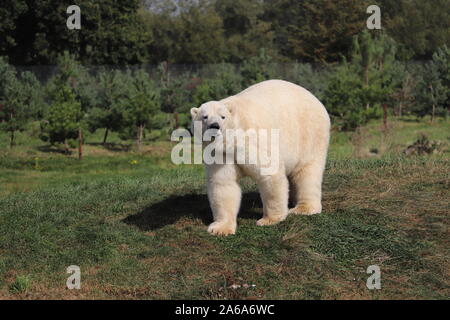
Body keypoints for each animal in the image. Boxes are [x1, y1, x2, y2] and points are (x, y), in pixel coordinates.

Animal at [190, 79, 330, 236]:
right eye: (205, 117)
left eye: (222, 117)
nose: (214, 126)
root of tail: (315, 99)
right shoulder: (221, 154)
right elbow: (223, 183)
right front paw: (221, 228)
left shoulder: (254, 141)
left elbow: (270, 173)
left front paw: (269, 220)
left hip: (309, 134)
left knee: (307, 171)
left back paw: (303, 208)